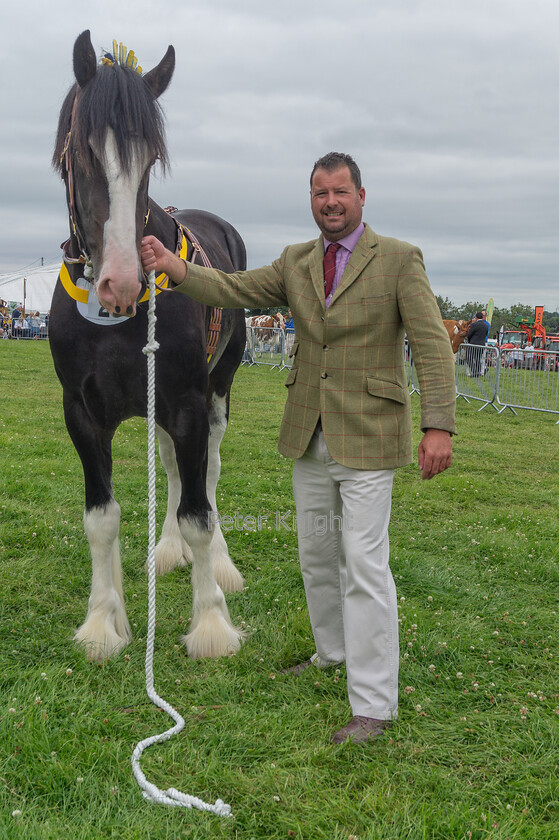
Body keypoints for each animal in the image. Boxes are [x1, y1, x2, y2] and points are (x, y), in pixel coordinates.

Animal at [49, 31, 246, 664]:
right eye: (82, 152)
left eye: (150, 160)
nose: (121, 282)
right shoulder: (83, 414)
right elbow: (102, 517)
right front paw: (102, 621)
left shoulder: (187, 403)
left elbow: (199, 512)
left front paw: (211, 623)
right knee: (174, 469)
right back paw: (167, 551)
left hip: (217, 391)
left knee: (207, 473)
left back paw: (219, 566)